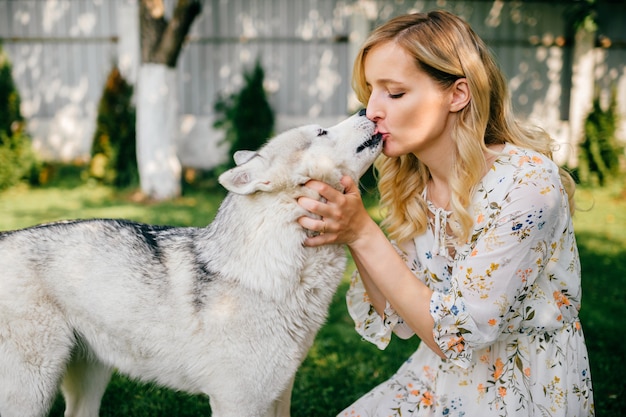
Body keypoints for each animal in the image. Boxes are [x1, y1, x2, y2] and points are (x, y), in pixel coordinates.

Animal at [0, 110, 380, 416]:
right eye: (322, 132)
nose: (367, 110)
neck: (272, 272)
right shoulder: (238, 402)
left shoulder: (278, 393)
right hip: (32, 394)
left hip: (90, 379)